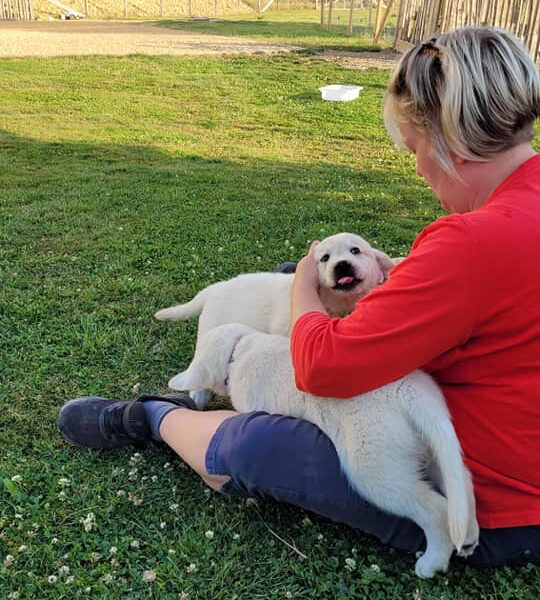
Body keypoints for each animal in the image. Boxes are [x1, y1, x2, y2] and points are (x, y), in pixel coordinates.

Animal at [155, 232, 395, 407]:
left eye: (356, 251)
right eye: (325, 258)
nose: (342, 265)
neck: (334, 303)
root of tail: (211, 290)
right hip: (210, 328)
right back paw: (198, 395)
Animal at [168, 323, 480, 578]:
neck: (240, 348)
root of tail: (410, 396)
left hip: (375, 470)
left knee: (435, 510)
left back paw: (432, 562)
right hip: (435, 447)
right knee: (461, 482)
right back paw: (469, 536)